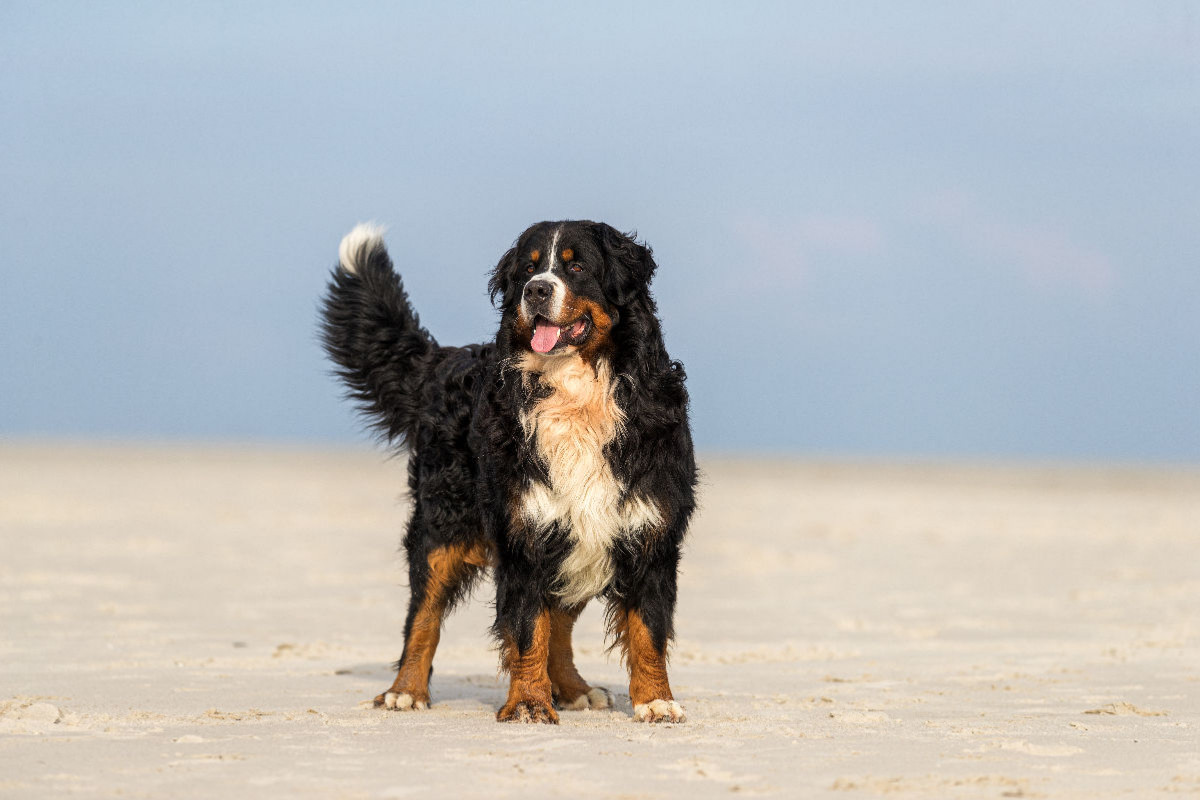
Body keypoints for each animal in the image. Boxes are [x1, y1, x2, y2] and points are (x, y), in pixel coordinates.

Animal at [324, 220, 700, 724]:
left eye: (576, 266)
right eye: (528, 267)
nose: (536, 289)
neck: (575, 395)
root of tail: (445, 359)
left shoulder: (648, 531)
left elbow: (648, 630)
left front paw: (656, 701)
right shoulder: (525, 531)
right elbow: (526, 629)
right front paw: (527, 703)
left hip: (580, 540)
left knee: (560, 620)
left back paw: (574, 689)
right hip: (443, 524)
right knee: (423, 616)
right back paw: (405, 690)